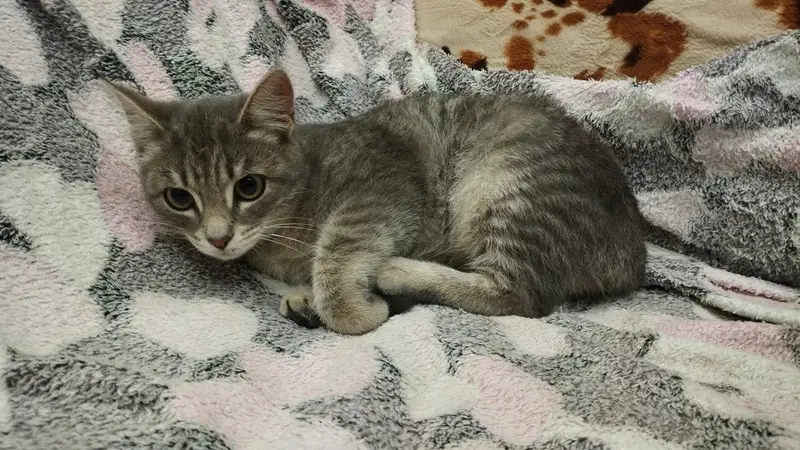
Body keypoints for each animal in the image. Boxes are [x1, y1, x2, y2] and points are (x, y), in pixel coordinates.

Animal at [106, 69, 647, 335]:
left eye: (249, 187)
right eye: (179, 198)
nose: (218, 239)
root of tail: (634, 253)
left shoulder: (380, 193)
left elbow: (338, 251)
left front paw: (349, 309)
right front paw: (308, 298)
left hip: (505, 184)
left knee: (518, 295)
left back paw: (397, 272)